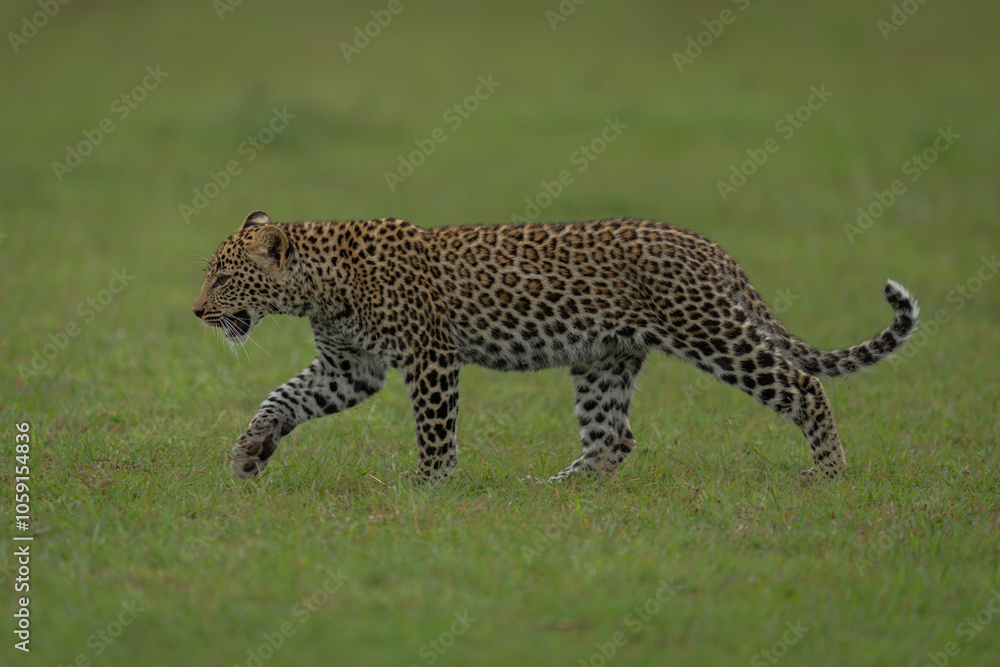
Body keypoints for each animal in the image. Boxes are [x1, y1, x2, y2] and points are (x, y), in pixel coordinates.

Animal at [192, 210, 919, 482]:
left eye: (223, 277)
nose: (196, 311)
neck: (318, 283)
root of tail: (711, 247)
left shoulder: (430, 355)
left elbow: (434, 428)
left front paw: (429, 488)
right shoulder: (351, 367)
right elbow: (283, 396)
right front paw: (250, 450)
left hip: (713, 331)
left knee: (805, 385)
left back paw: (829, 471)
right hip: (604, 360)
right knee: (611, 440)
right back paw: (551, 491)